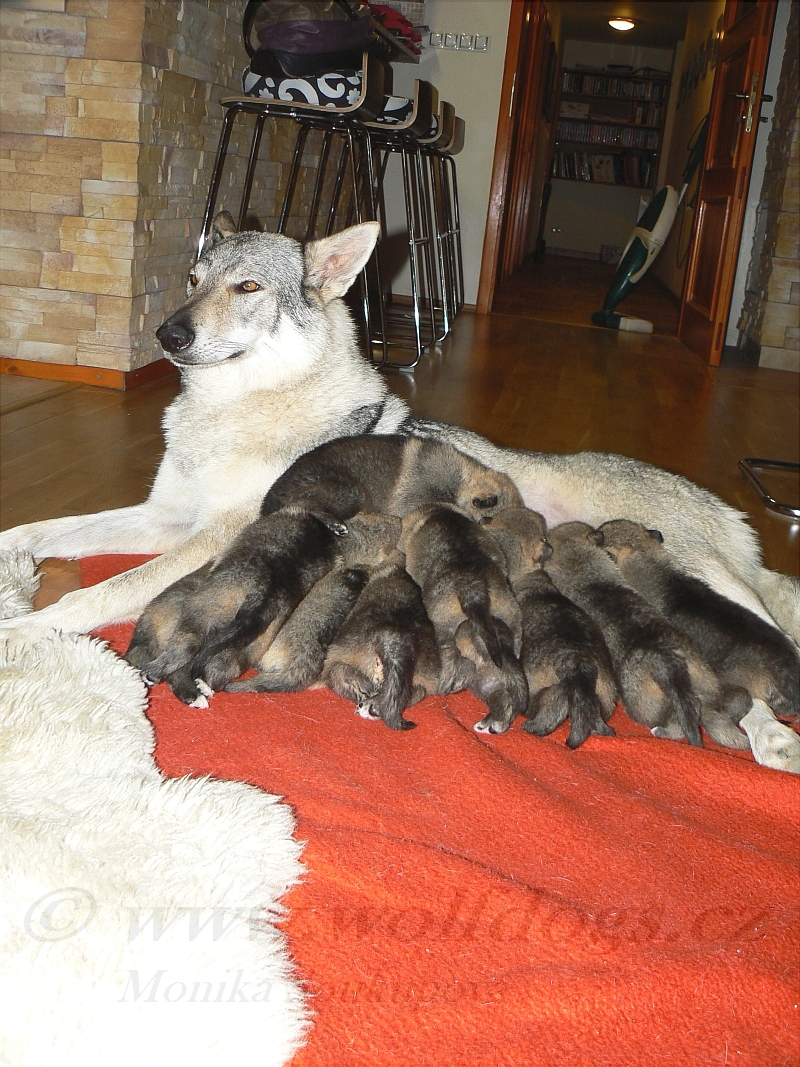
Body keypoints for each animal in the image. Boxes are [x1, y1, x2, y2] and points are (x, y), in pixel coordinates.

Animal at [398, 499, 529, 734]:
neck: (442, 512)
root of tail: (473, 588)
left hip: (444, 628)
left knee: (448, 664)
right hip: (508, 630)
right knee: (506, 689)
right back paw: (493, 722)